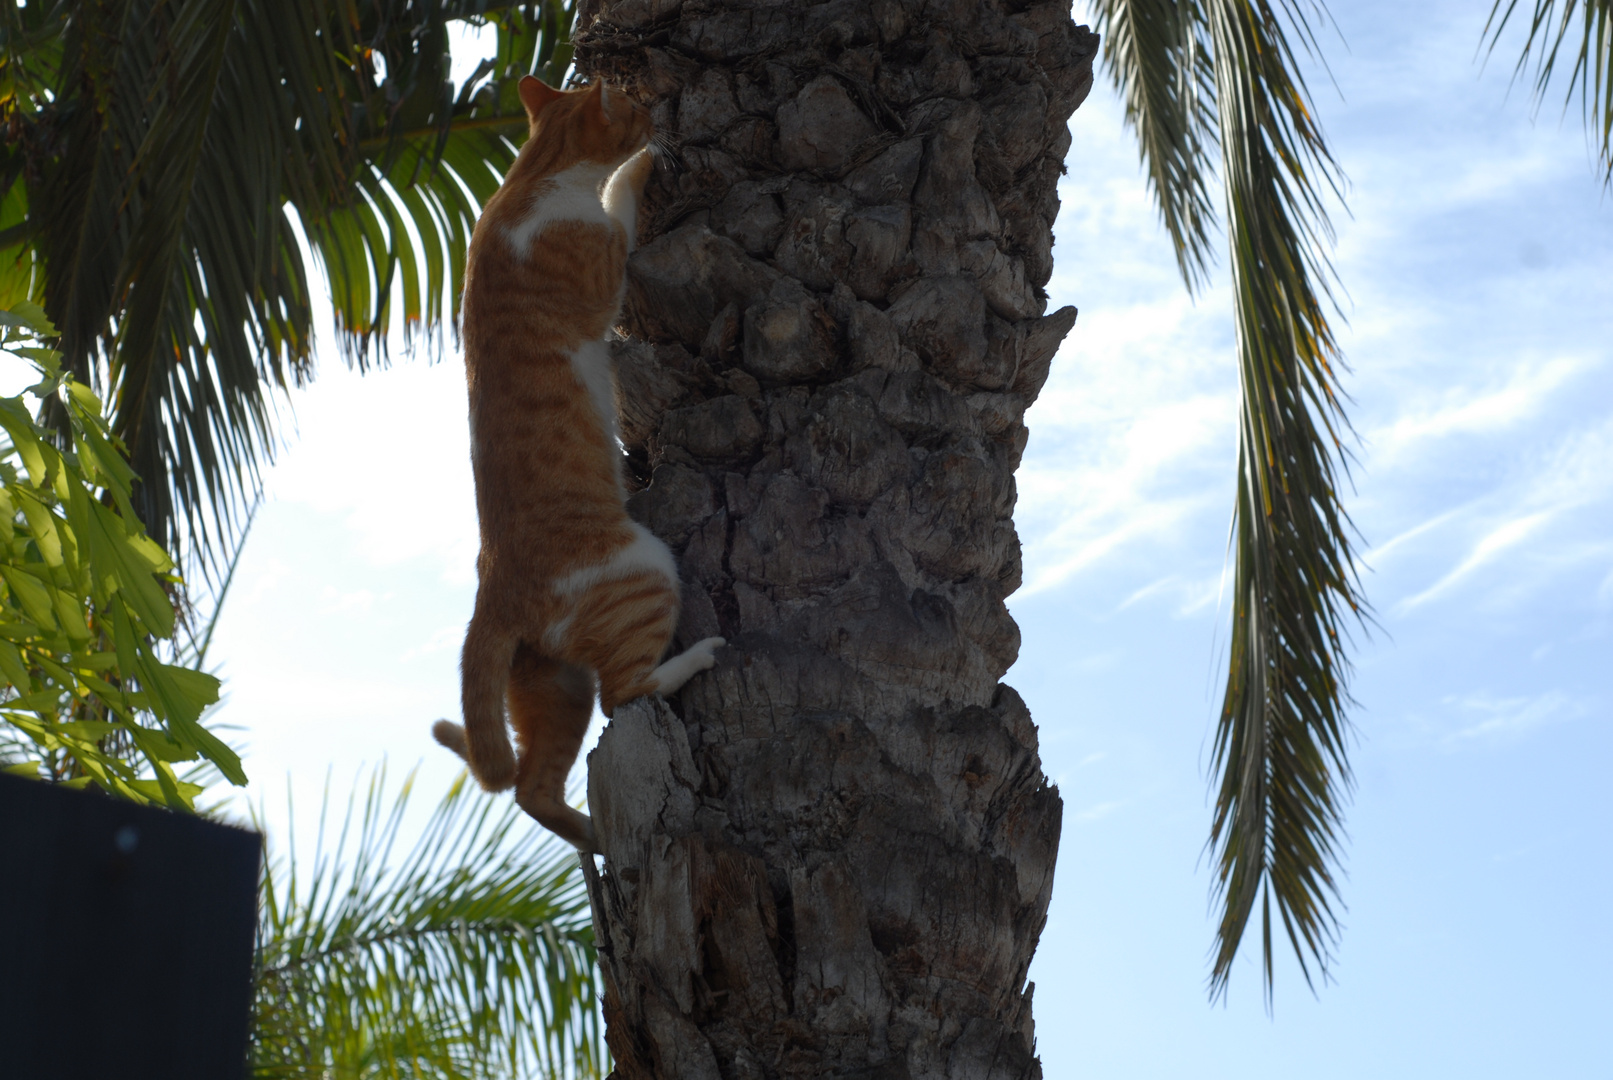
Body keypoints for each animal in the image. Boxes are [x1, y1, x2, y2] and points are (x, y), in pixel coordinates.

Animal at [435, 76, 725, 857]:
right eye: (631, 104)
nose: (655, 109)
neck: (525, 182)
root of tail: (493, 588)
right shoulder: (604, 260)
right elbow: (619, 195)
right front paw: (645, 160)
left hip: (555, 688)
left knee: (532, 788)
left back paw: (596, 838)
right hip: (645, 568)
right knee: (627, 693)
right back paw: (700, 656)